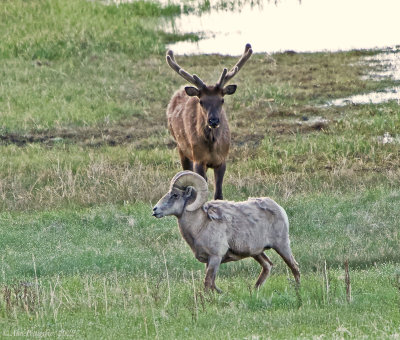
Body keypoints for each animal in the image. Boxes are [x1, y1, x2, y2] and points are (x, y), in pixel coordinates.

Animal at [164, 44, 252, 201]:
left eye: (222, 100)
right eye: (201, 101)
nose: (214, 120)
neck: (212, 144)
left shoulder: (222, 160)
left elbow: (218, 194)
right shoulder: (198, 159)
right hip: (182, 148)